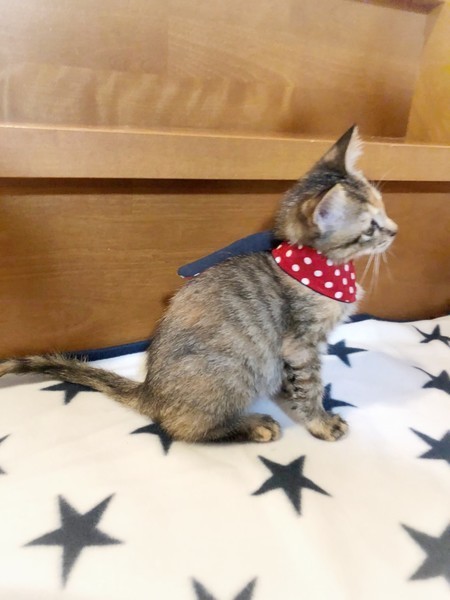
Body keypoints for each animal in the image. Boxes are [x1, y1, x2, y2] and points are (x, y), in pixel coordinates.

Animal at [0, 126, 397, 444]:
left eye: (383, 208)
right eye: (370, 228)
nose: (394, 230)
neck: (320, 269)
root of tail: (151, 392)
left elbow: (295, 383)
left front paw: (292, 399)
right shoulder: (301, 343)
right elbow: (311, 385)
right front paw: (320, 421)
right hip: (233, 374)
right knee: (183, 428)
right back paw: (253, 425)